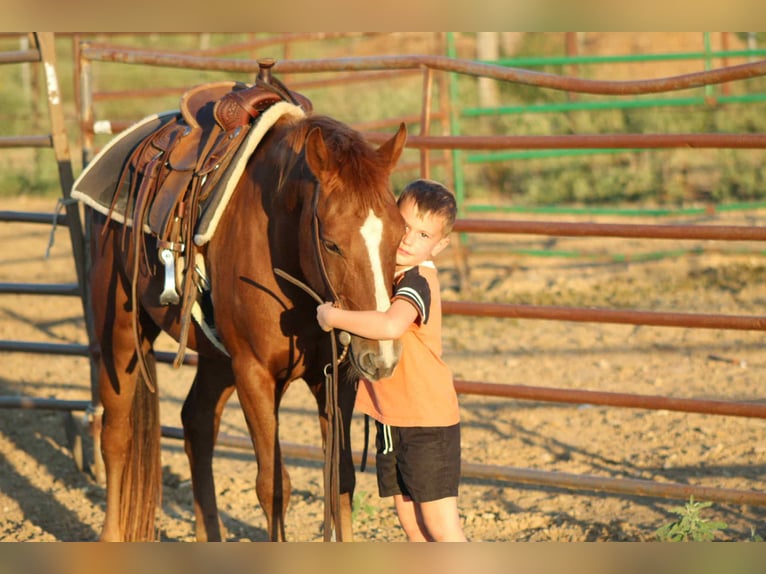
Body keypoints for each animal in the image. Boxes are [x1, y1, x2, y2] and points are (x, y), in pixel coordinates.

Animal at [77, 81, 407, 541]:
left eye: (400, 235)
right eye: (332, 244)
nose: (381, 356)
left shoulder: (335, 376)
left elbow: (340, 481)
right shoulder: (255, 373)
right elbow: (273, 486)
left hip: (217, 356)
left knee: (196, 423)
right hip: (121, 332)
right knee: (116, 434)